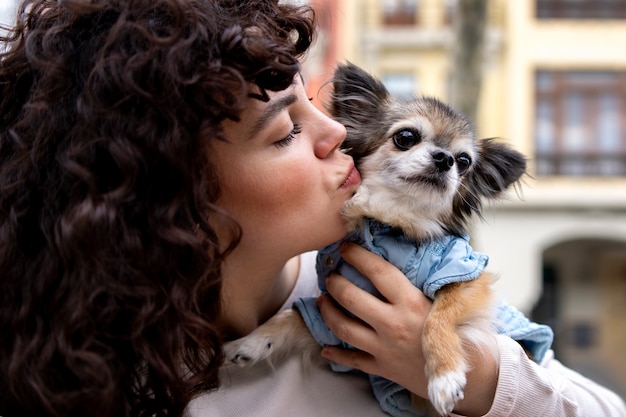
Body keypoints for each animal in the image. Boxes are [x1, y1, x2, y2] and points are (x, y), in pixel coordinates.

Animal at [224, 62, 528, 416]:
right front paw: (249, 343)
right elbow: (294, 315)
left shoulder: (465, 278)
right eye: (405, 137)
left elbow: (436, 318)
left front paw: (444, 376)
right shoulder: (336, 316)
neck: (392, 221)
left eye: (464, 161)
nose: (446, 159)